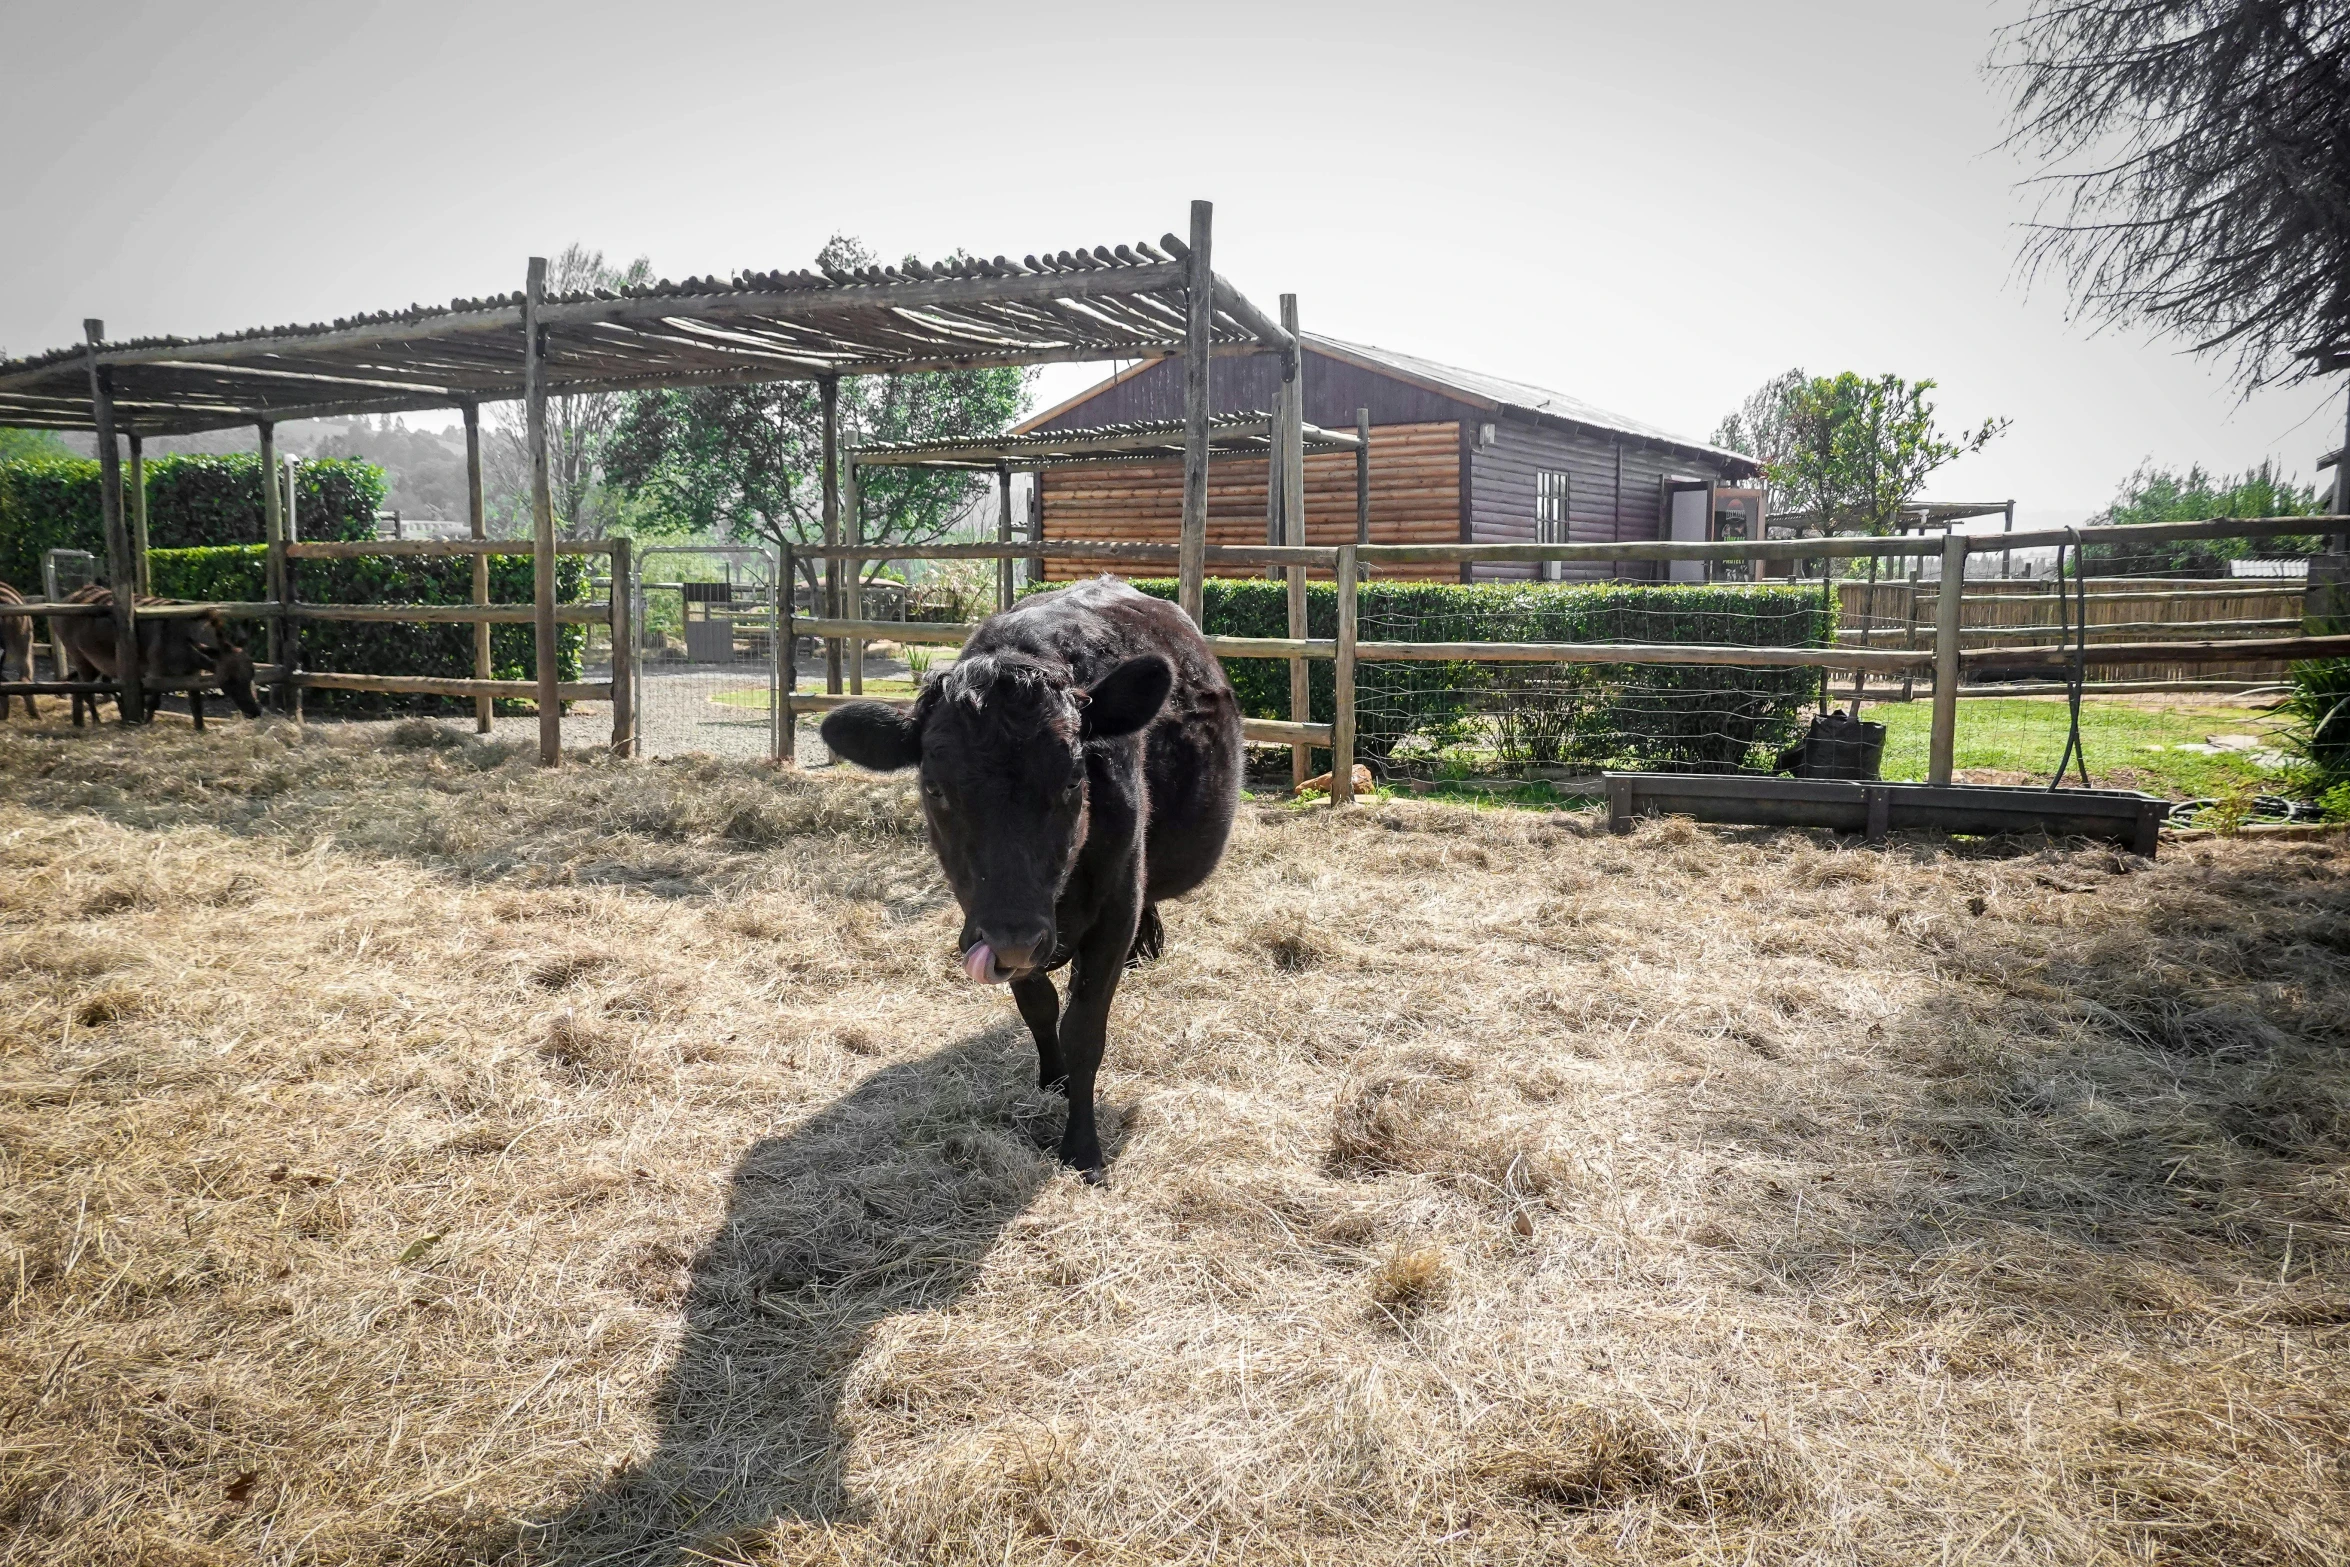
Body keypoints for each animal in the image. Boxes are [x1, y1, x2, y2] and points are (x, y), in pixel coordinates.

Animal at [822, 575, 1240, 1174]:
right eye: (934, 787)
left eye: (1073, 780)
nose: (1017, 939)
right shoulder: (990, 922)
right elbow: (1039, 1007)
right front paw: (1053, 1079)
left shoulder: (1114, 904)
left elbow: (1085, 1030)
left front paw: (1083, 1147)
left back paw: (1148, 944)